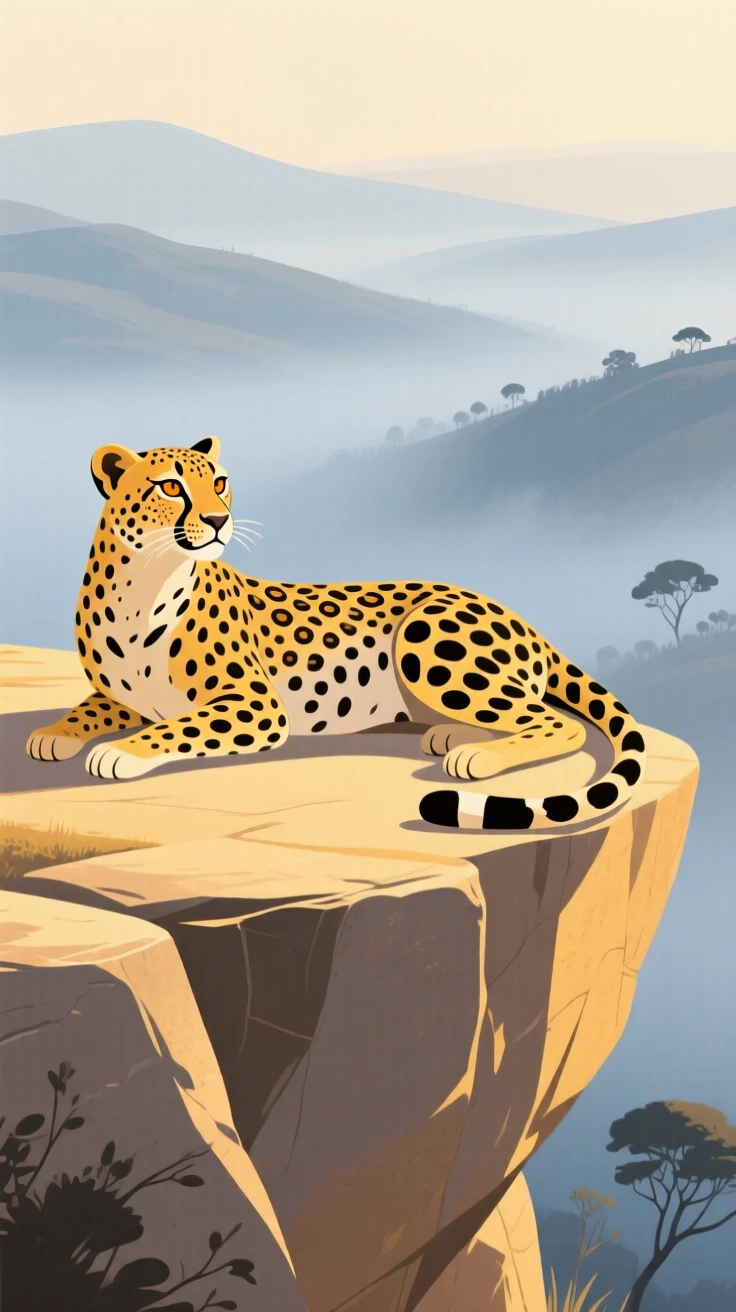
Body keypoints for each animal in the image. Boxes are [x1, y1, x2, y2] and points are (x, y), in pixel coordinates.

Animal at [26, 437, 647, 831]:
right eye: (171, 488)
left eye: (220, 484)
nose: (220, 520)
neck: (143, 583)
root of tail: (519, 616)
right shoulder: (120, 694)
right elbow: (91, 707)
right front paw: (53, 734)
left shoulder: (255, 704)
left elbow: (178, 727)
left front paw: (119, 752)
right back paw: (451, 735)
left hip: (426, 640)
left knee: (556, 721)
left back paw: (474, 756)